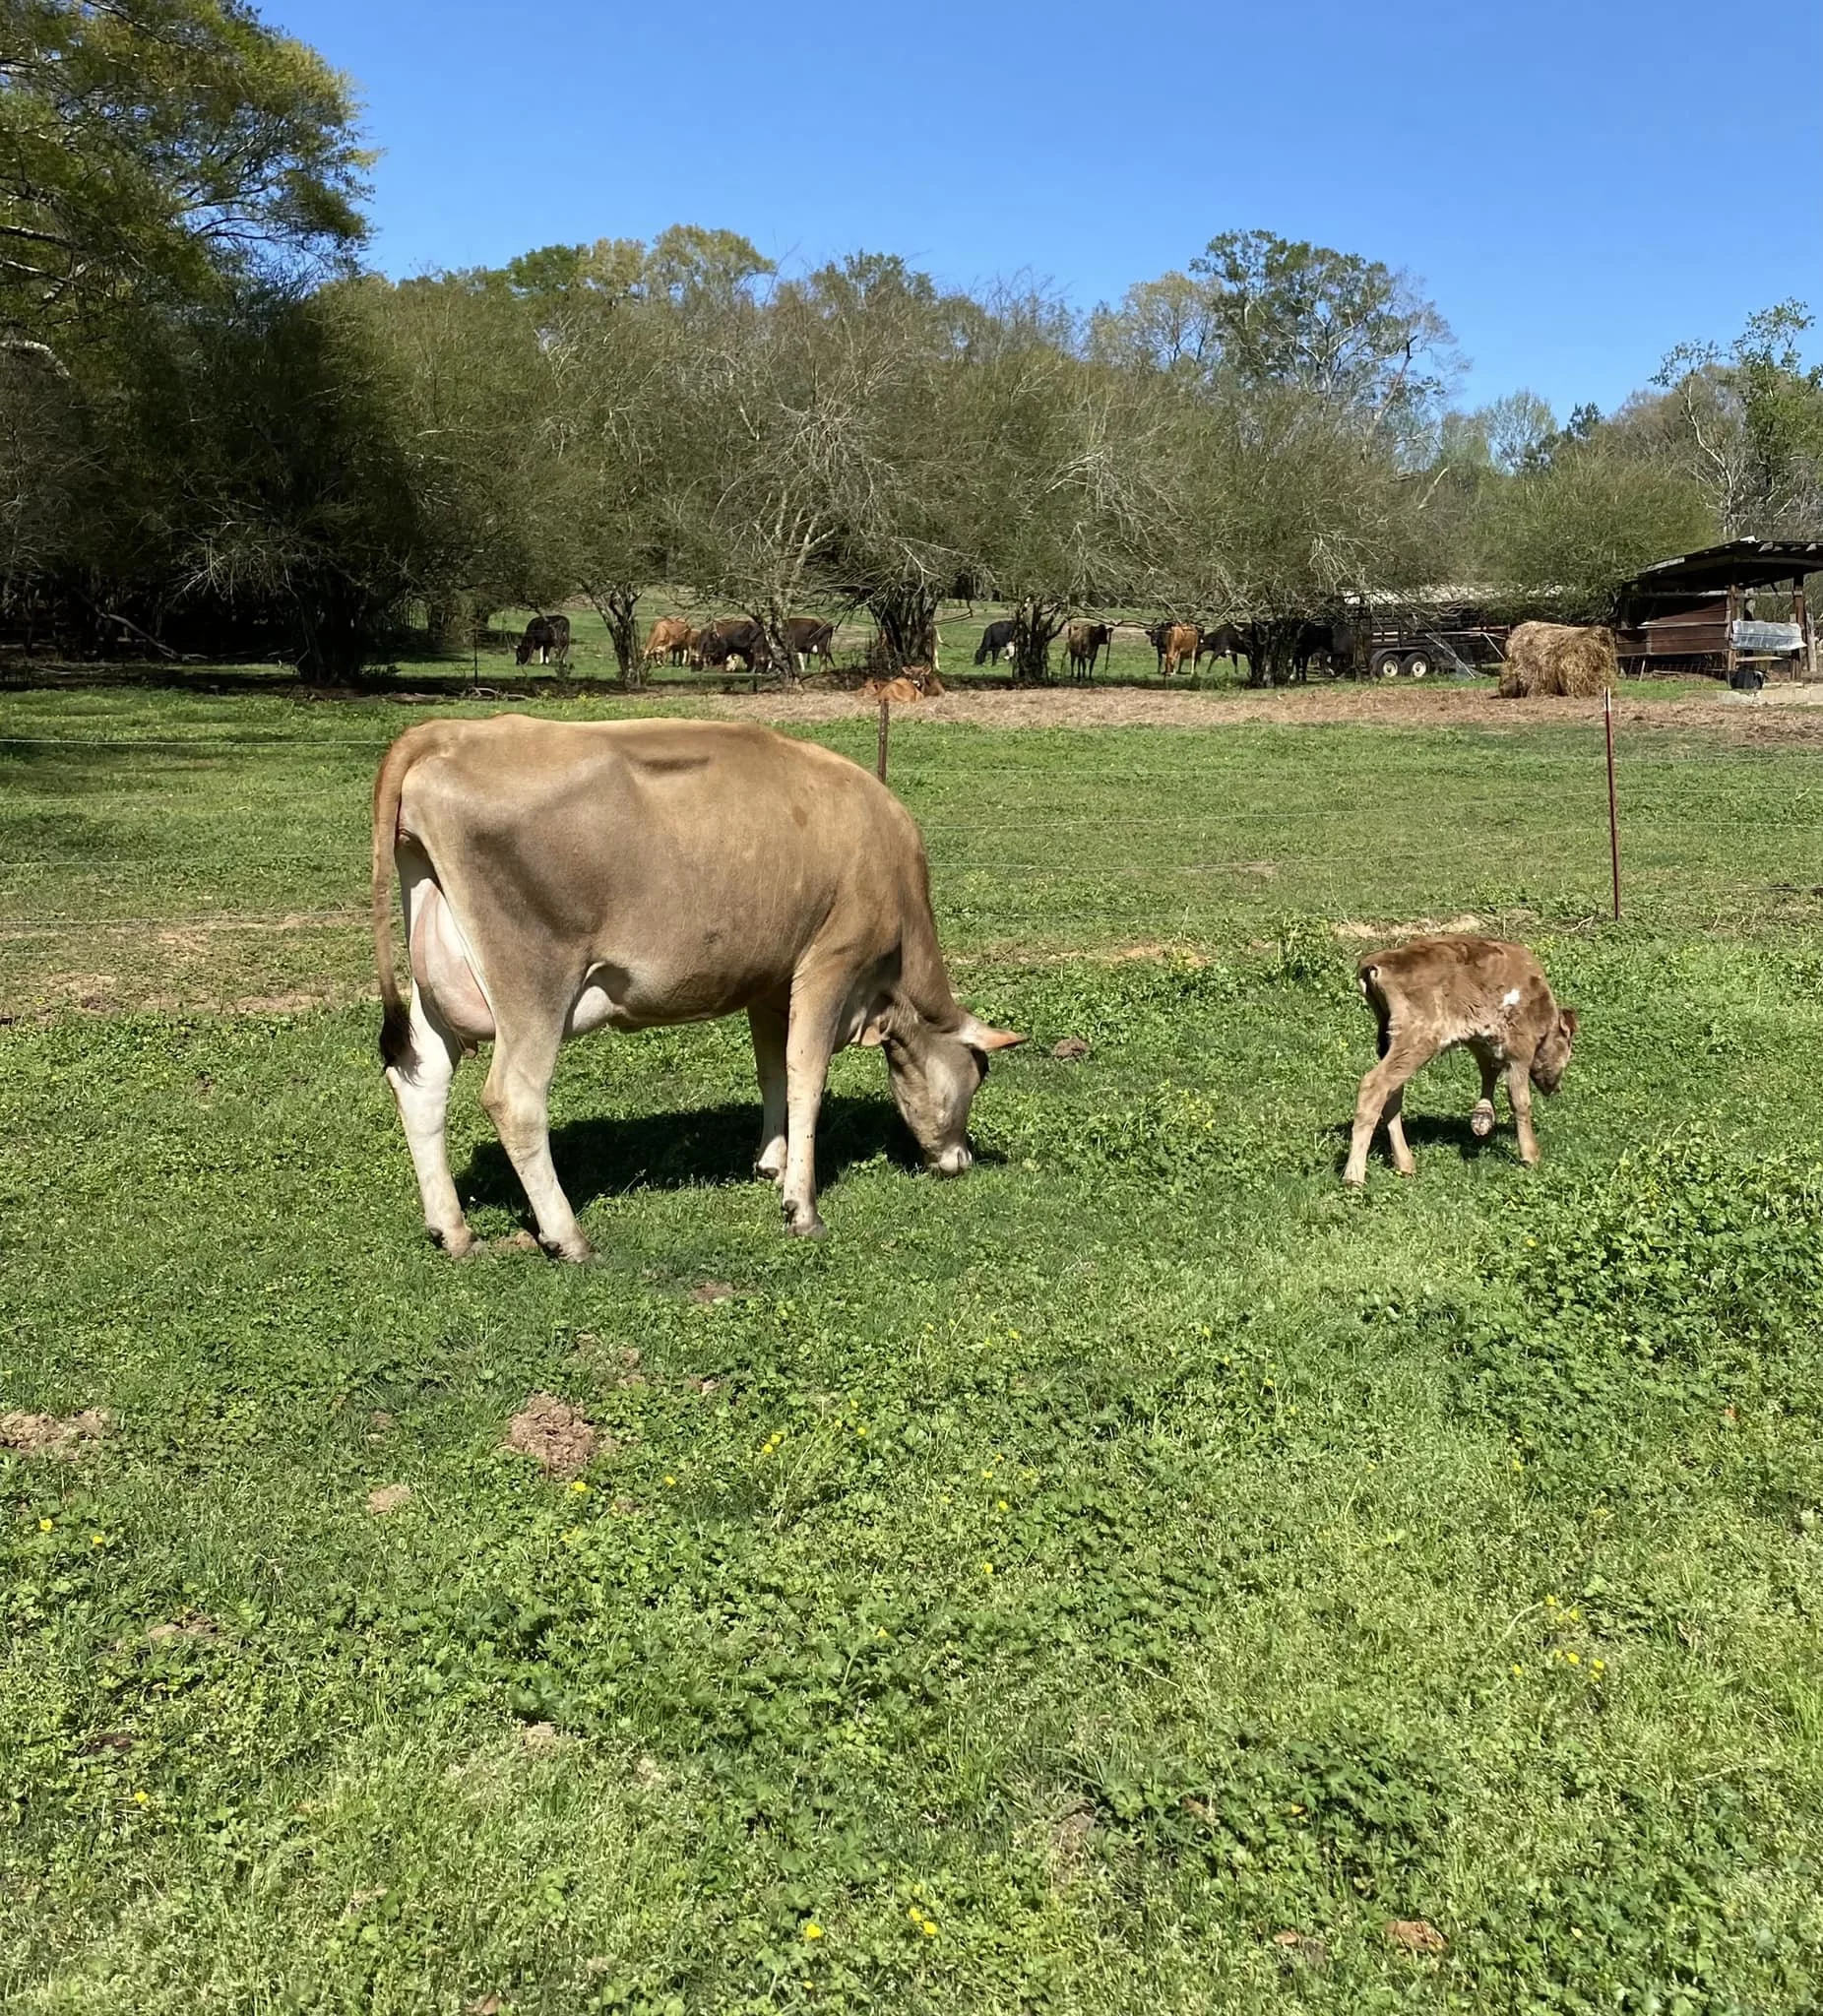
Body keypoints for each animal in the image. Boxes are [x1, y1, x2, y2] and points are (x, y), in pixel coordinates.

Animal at [372, 716, 1023, 1257]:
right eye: (977, 1075)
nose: (960, 1160)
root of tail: (448, 733)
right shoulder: (831, 962)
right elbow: (806, 1076)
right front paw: (802, 1206)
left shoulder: (770, 981)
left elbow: (773, 1071)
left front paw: (771, 1164)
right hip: (535, 984)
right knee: (514, 1098)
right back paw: (567, 1236)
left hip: (435, 980)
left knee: (421, 1082)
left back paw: (453, 1231)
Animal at [1343, 936, 1578, 1187]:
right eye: (1567, 1048)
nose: (1556, 1088)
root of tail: (1375, 962)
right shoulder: (1519, 1050)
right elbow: (1520, 1101)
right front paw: (1531, 1156)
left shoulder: (1480, 1040)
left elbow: (1489, 1071)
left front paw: (1482, 1120)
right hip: (1418, 1038)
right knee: (1374, 1085)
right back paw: (1354, 1178)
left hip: (1392, 1041)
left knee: (1392, 1093)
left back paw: (1405, 1164)